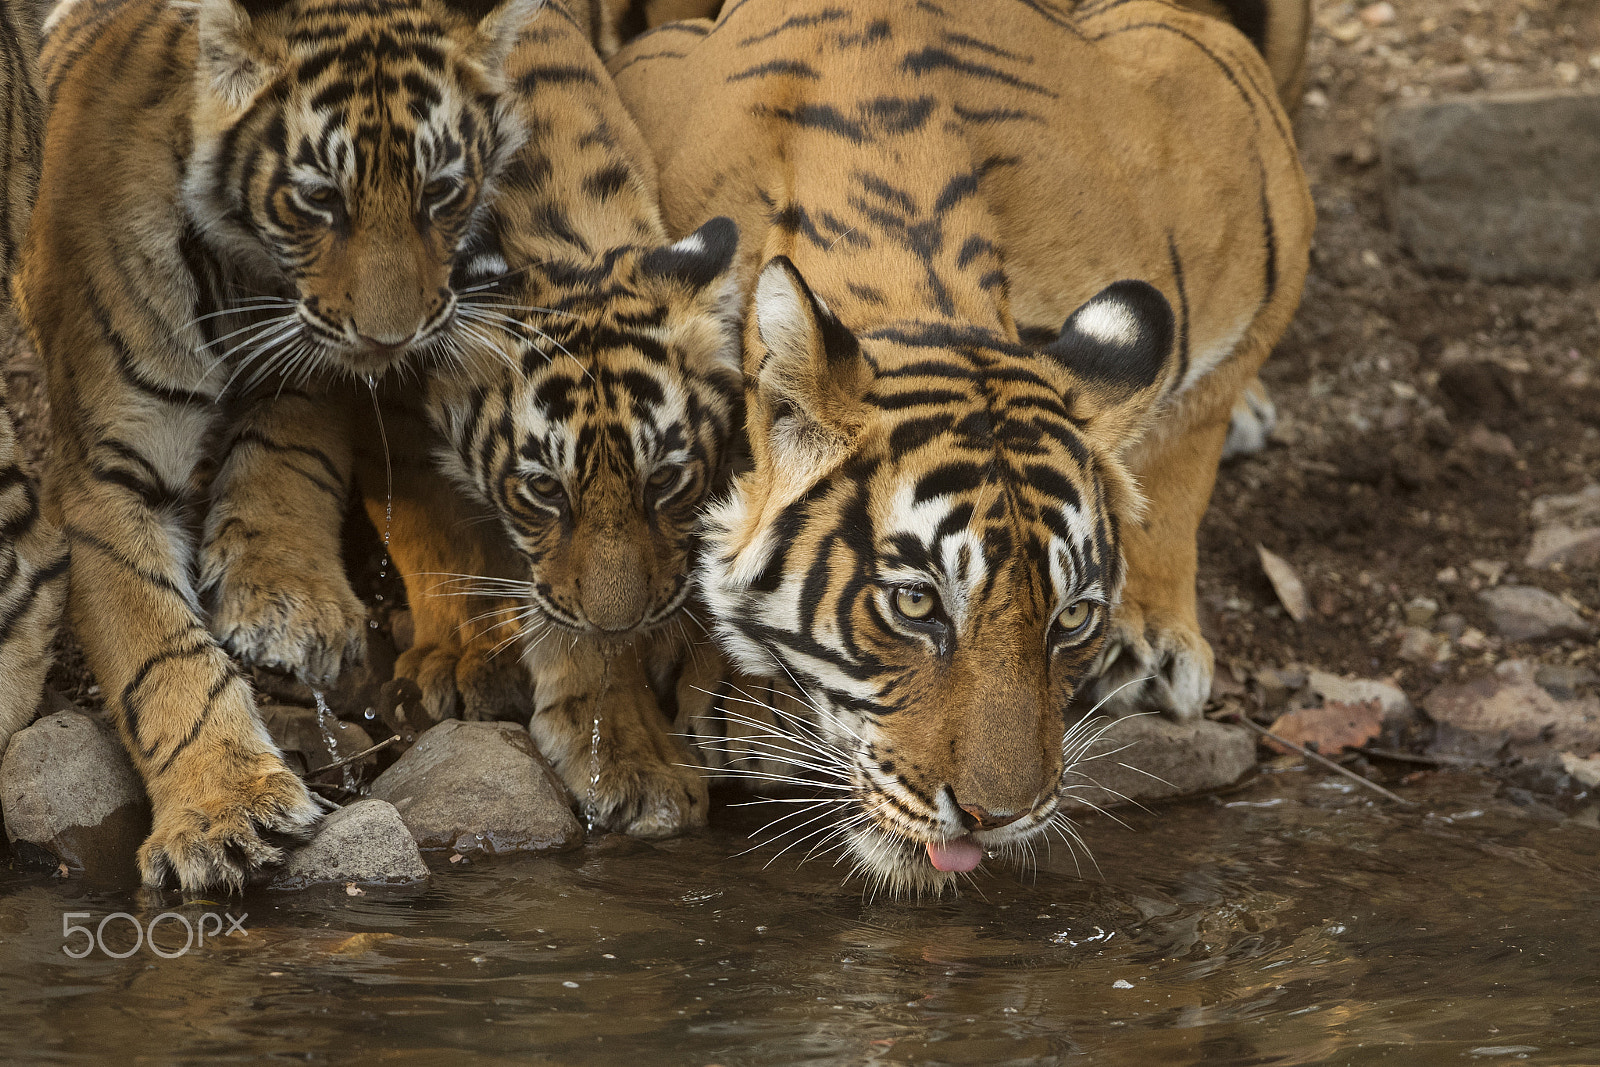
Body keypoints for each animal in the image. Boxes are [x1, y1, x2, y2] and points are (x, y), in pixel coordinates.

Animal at [611, 2, 1312, 895]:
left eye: (1073, 616)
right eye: (916, 604)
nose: (998, 816)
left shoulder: (1233, 129)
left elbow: (1192, 433)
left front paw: (1150, 641)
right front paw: (741, 698)